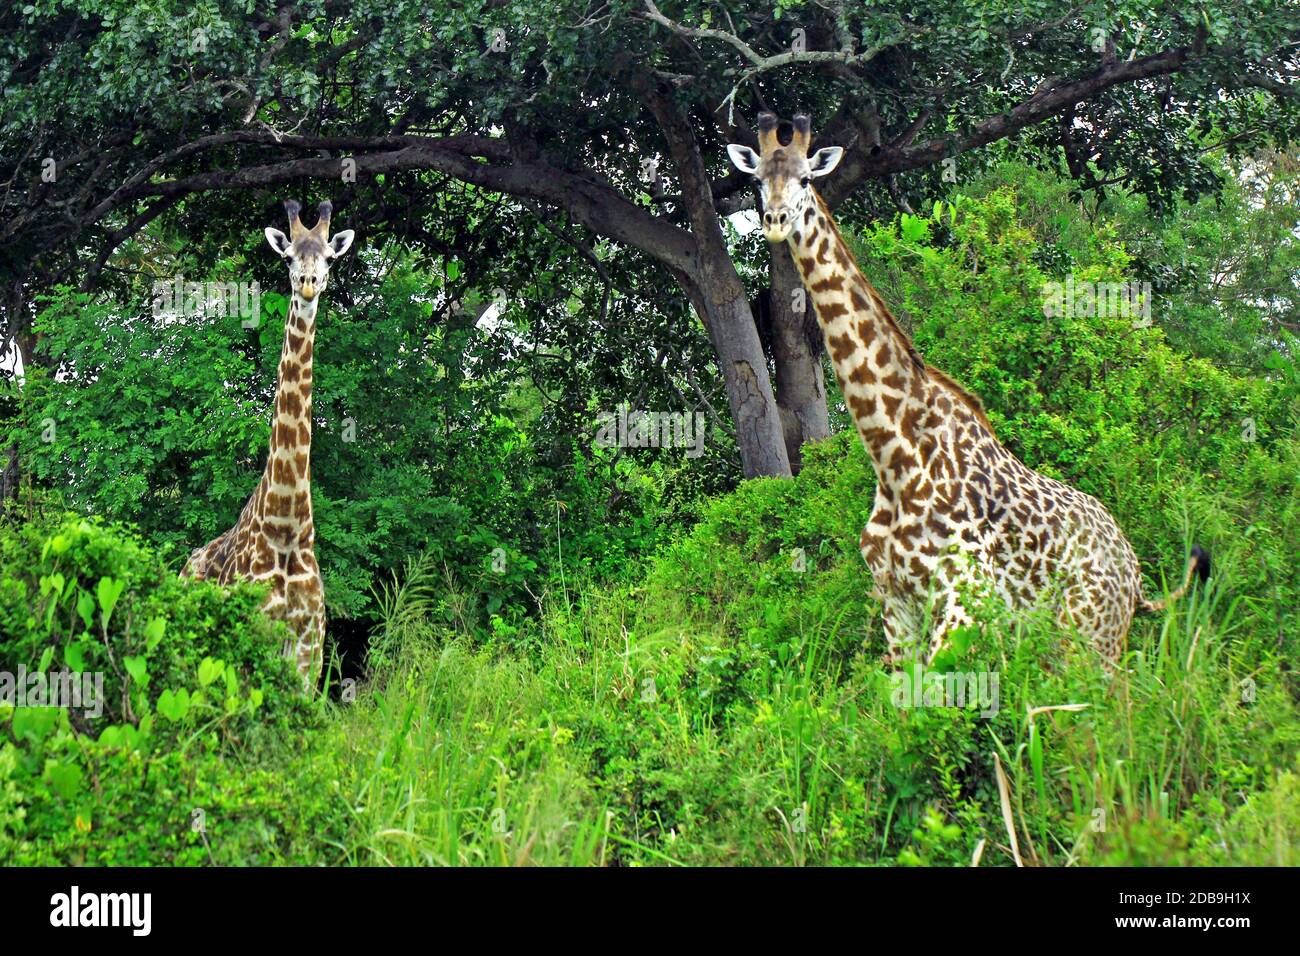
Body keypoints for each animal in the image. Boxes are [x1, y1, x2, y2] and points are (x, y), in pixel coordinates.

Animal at [182, 197, 356, 691]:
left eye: (329, 258)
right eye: (289, 256)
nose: (309, 284)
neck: (287, 523)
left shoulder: (309, 647)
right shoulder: (251, 639)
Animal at [728, 113, 1211, 665]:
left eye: (807, 179)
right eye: (757, 179)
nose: (775, 219)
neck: (893, 455)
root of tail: (1135, 575)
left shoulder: (964, 600)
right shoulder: (896, 604)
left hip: (1093, 637)